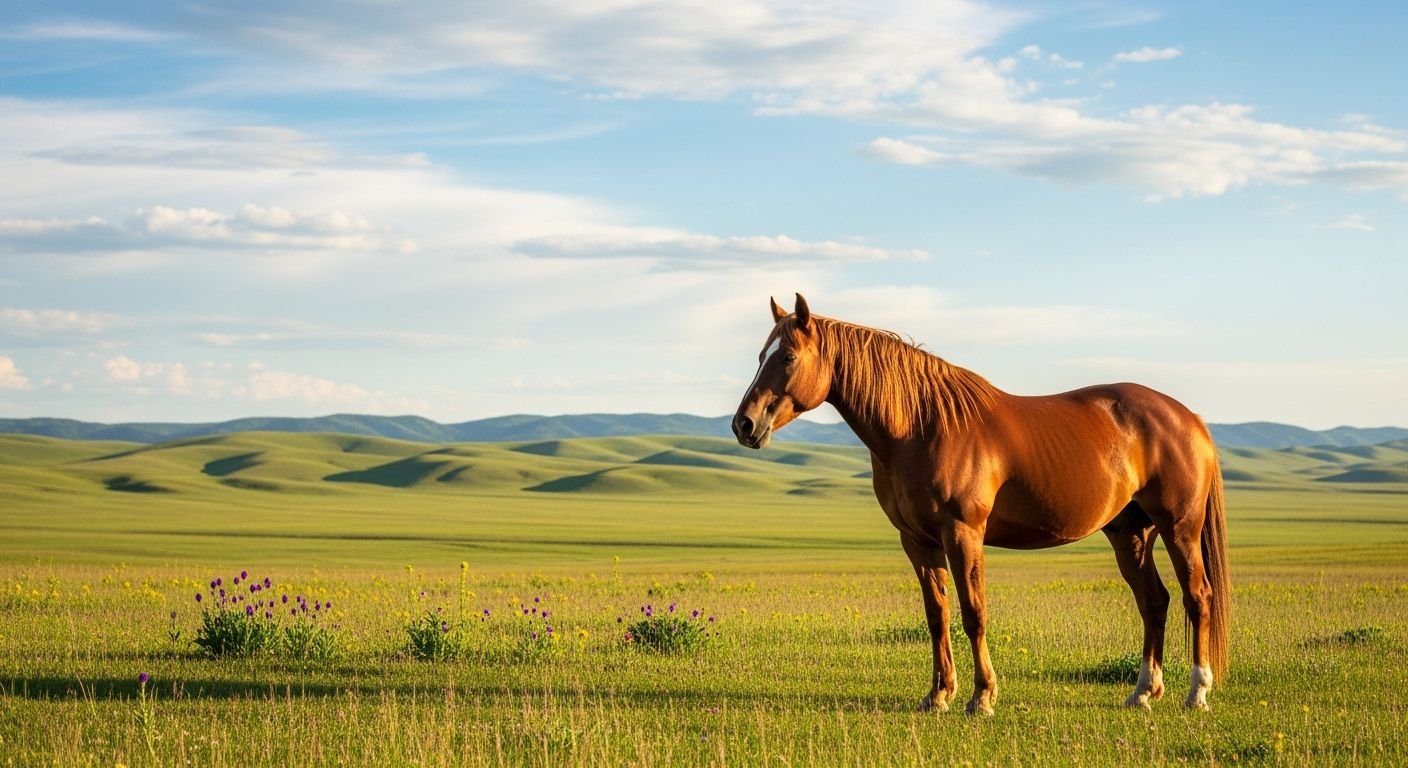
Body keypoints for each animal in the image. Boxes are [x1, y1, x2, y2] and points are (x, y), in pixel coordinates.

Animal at [731, 294, 1229, 714]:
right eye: (759, 357)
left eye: (787, 357)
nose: (744, 424)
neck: (922, 426)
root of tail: (1189, 418)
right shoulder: (918, 541)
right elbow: (937, 616)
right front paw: (937, 696)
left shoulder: (962, 533)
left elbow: (973, 613)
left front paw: (982, 697)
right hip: (1131, 534)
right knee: (1154, 601)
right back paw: (1144, 692)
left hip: (1179, 528)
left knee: (1197, 597)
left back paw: (1197, 692)